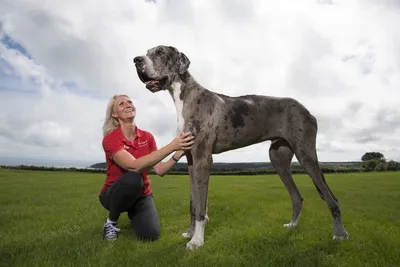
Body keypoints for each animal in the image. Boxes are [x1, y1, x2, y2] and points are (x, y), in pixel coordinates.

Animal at [133, 44, 348, 251]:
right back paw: (292, 225)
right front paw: (190, 233)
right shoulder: (191, 161)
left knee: (331, 198)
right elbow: (193, 204)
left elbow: (201, 207)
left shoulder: (203, 159)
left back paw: (339, 234)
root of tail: (307, 110)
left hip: (306, 155)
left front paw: (197, 242)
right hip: (278, 158)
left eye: (160, 52)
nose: (136, 60)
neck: (185, 96)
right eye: (147, 52)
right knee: (297, 197)